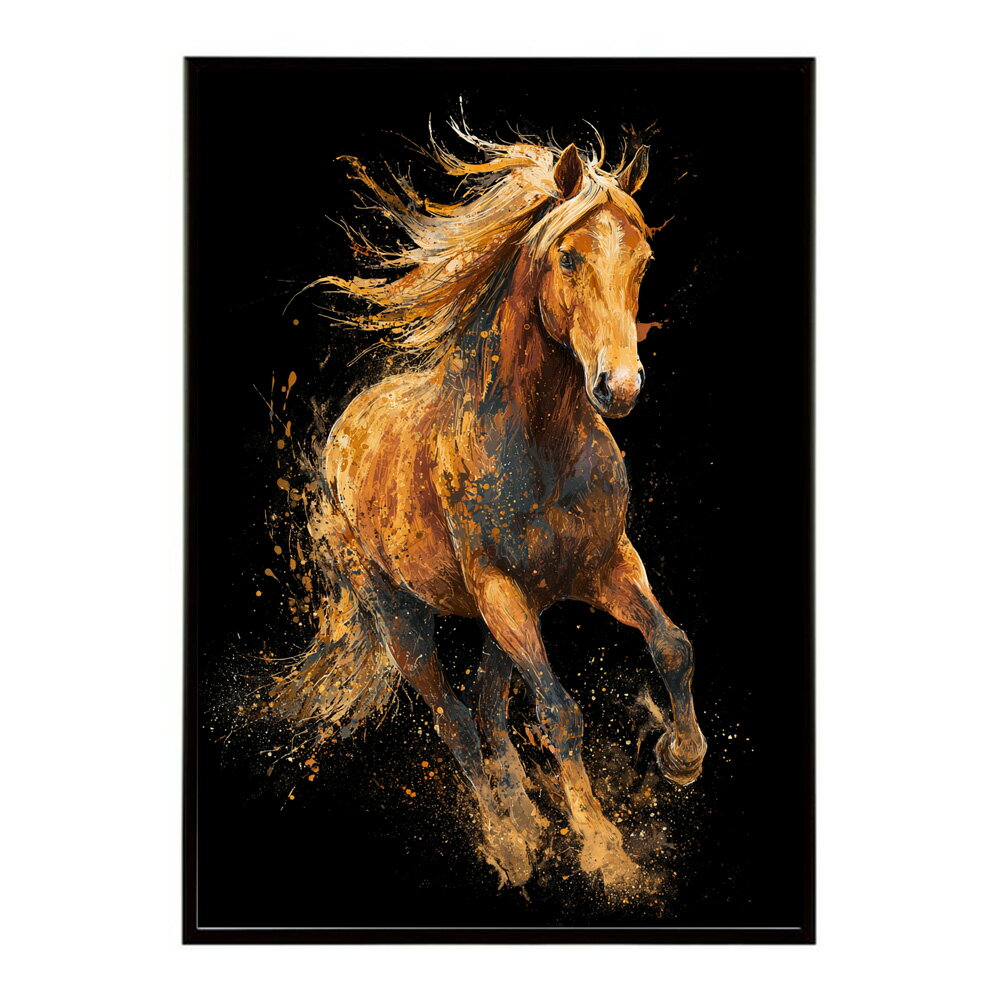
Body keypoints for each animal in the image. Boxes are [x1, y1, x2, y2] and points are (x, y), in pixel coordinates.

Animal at [271, 126, 708, 889]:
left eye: (643, 258)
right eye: (569, 255)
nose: (619, 387)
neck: (542, 448)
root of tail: (344, 431)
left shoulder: (606, 566)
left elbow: (672, 645)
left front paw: (681, 757)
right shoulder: (502, 591)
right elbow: (560, 714)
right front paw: (605, 849)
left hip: (499, 620)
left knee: (487, 708)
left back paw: (527, 820)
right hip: (405, 617)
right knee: (455, 718)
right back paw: (507, 844)